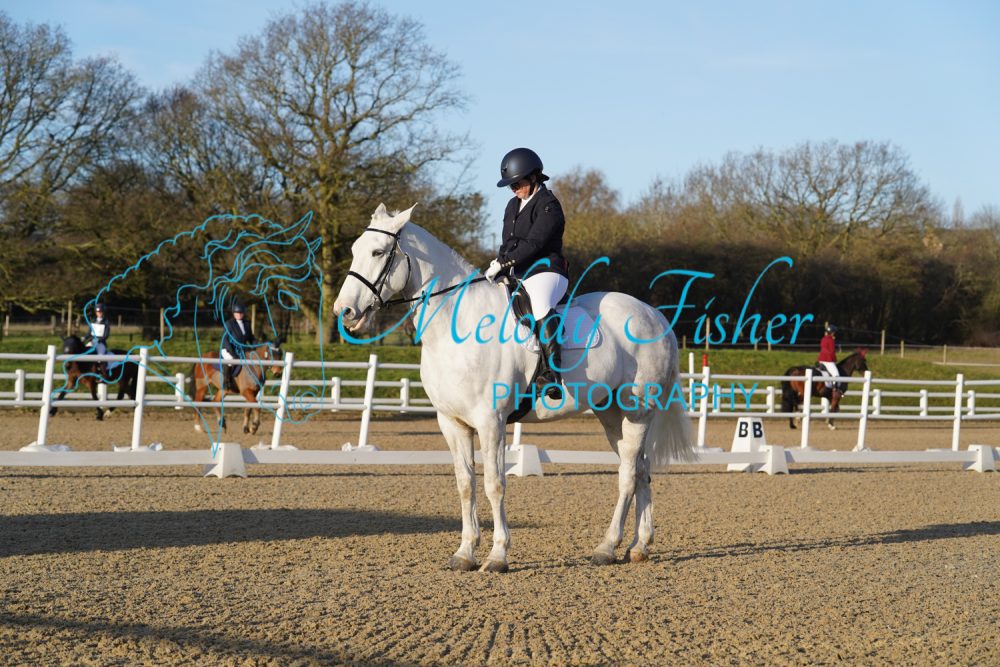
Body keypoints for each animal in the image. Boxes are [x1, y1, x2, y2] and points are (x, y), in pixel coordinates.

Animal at [334, 204, 693, 572]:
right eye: (355, 250)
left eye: (378, 252)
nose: (343, 311)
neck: (456, 328)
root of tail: (654, 315)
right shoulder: (452, 423)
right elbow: (465, 484)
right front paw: (465, 553)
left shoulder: (491, 421)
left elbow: (495, 484)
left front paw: (497, 555)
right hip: (611, 414)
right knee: (641, 470)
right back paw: (639, 546)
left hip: (637, 412)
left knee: (628, 474)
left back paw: (607, 547)